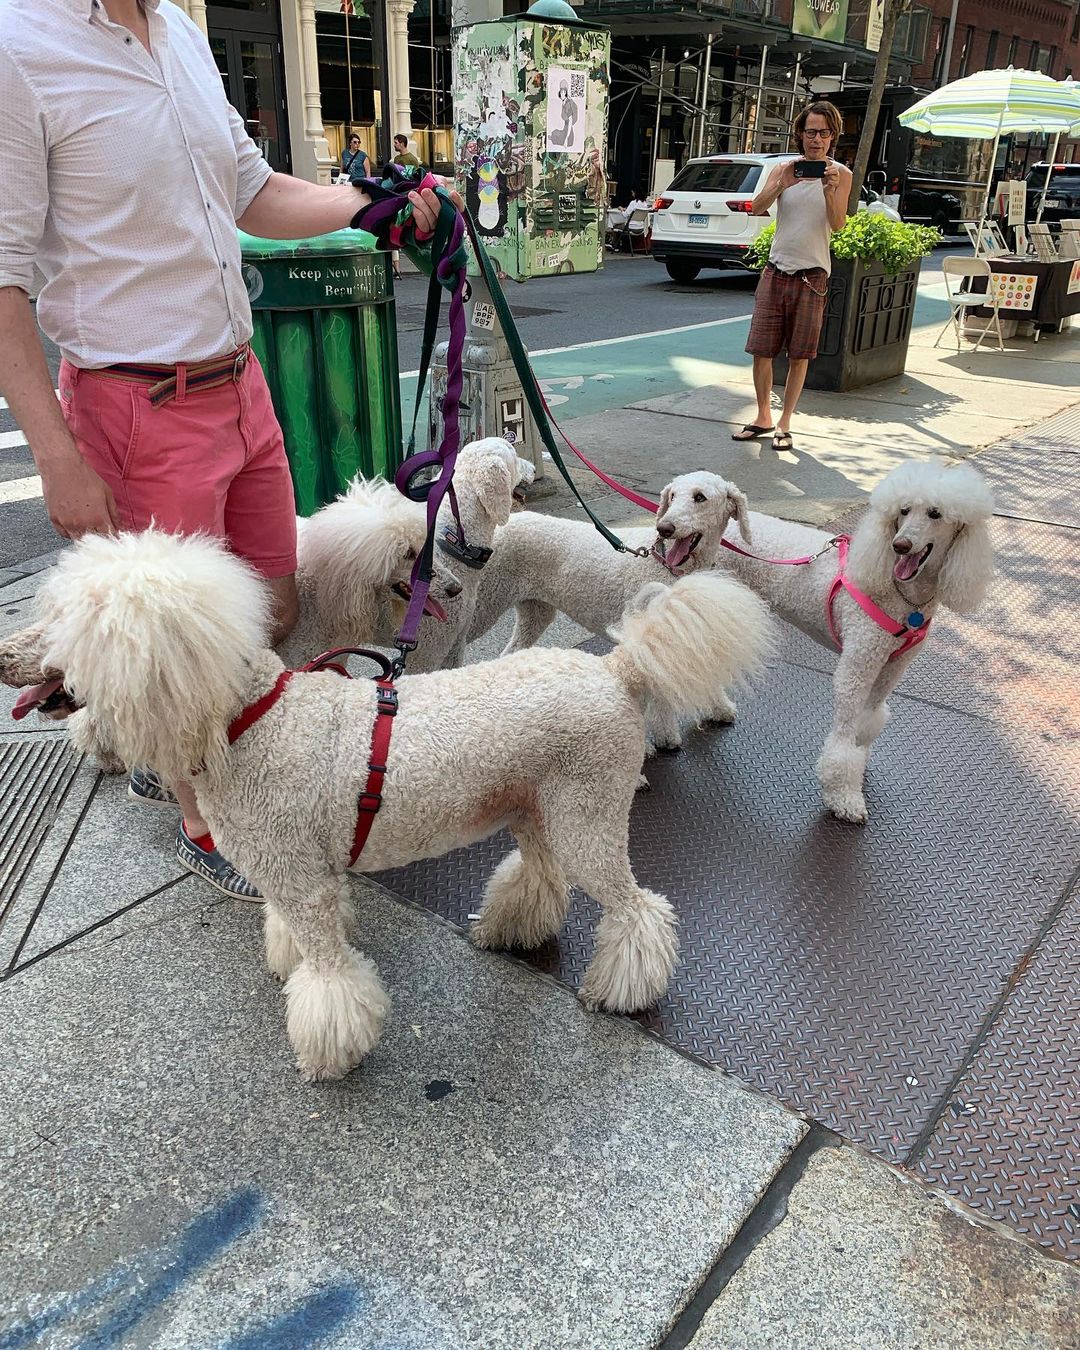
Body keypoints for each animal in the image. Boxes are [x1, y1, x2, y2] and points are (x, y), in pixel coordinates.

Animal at [8, 528, 773, 1080]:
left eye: (64, 623)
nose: (3, 656)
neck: (250, 720)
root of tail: (617, 668)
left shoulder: (301, 880)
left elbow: (329, 979)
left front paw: (329, 1052)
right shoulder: (301, 878)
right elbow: (300, 936)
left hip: (589, 811)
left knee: (636, 909)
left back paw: (622, 989)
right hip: (538, 805)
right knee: (543, 874)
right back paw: (513, 928)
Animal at [467, 471, 754, 750]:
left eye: (700, 497)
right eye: (672, 496)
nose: (664, 528)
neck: (667, 565)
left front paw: (719, 708)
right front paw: (665, 737)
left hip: (535, 612)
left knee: (512, 651)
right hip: (482, 604)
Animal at [715, 459, 994, 823]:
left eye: (935, 513)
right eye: (903, 511)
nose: (900, 545)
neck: (902, 595)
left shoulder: (891, 668)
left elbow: (868, 720)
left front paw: (858, 766)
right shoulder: (858, 664)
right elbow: (844, 737)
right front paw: (843, 797)